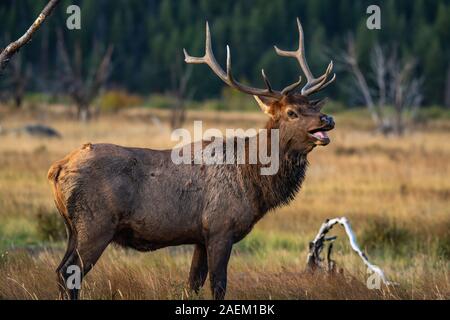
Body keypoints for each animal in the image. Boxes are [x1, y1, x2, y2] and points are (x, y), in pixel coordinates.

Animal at [49, 19, 336, 300]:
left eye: (314, 105)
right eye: (292, 112)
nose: (328, 119)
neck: (253, 181)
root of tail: (57, 168)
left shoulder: (200, 236)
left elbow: (192, 284)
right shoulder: (221, 228)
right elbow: (218, 285)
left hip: (73, 228)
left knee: (61, 270)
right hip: (95, 225)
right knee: (69, 272)